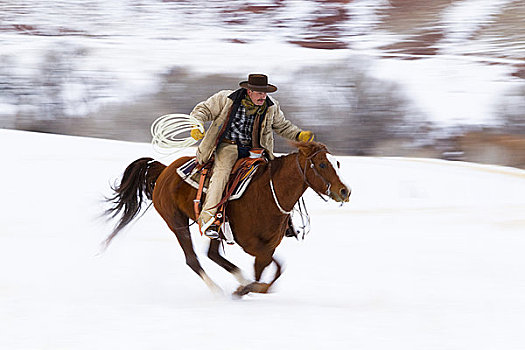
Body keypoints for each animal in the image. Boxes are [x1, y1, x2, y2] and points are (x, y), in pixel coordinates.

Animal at [104, 141, 350, 296]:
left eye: (337, 163)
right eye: (321, 164)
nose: (344, 191)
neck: (268, 193)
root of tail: (164, 169)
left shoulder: (268, 244)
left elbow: (272, 269)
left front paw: (249, 288)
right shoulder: (251, 244)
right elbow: (269, 268)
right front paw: (246, 289)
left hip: (216, 228)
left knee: (212, 254)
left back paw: (240, 281)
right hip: (177, 222)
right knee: (193, 259)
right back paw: (218, 291)